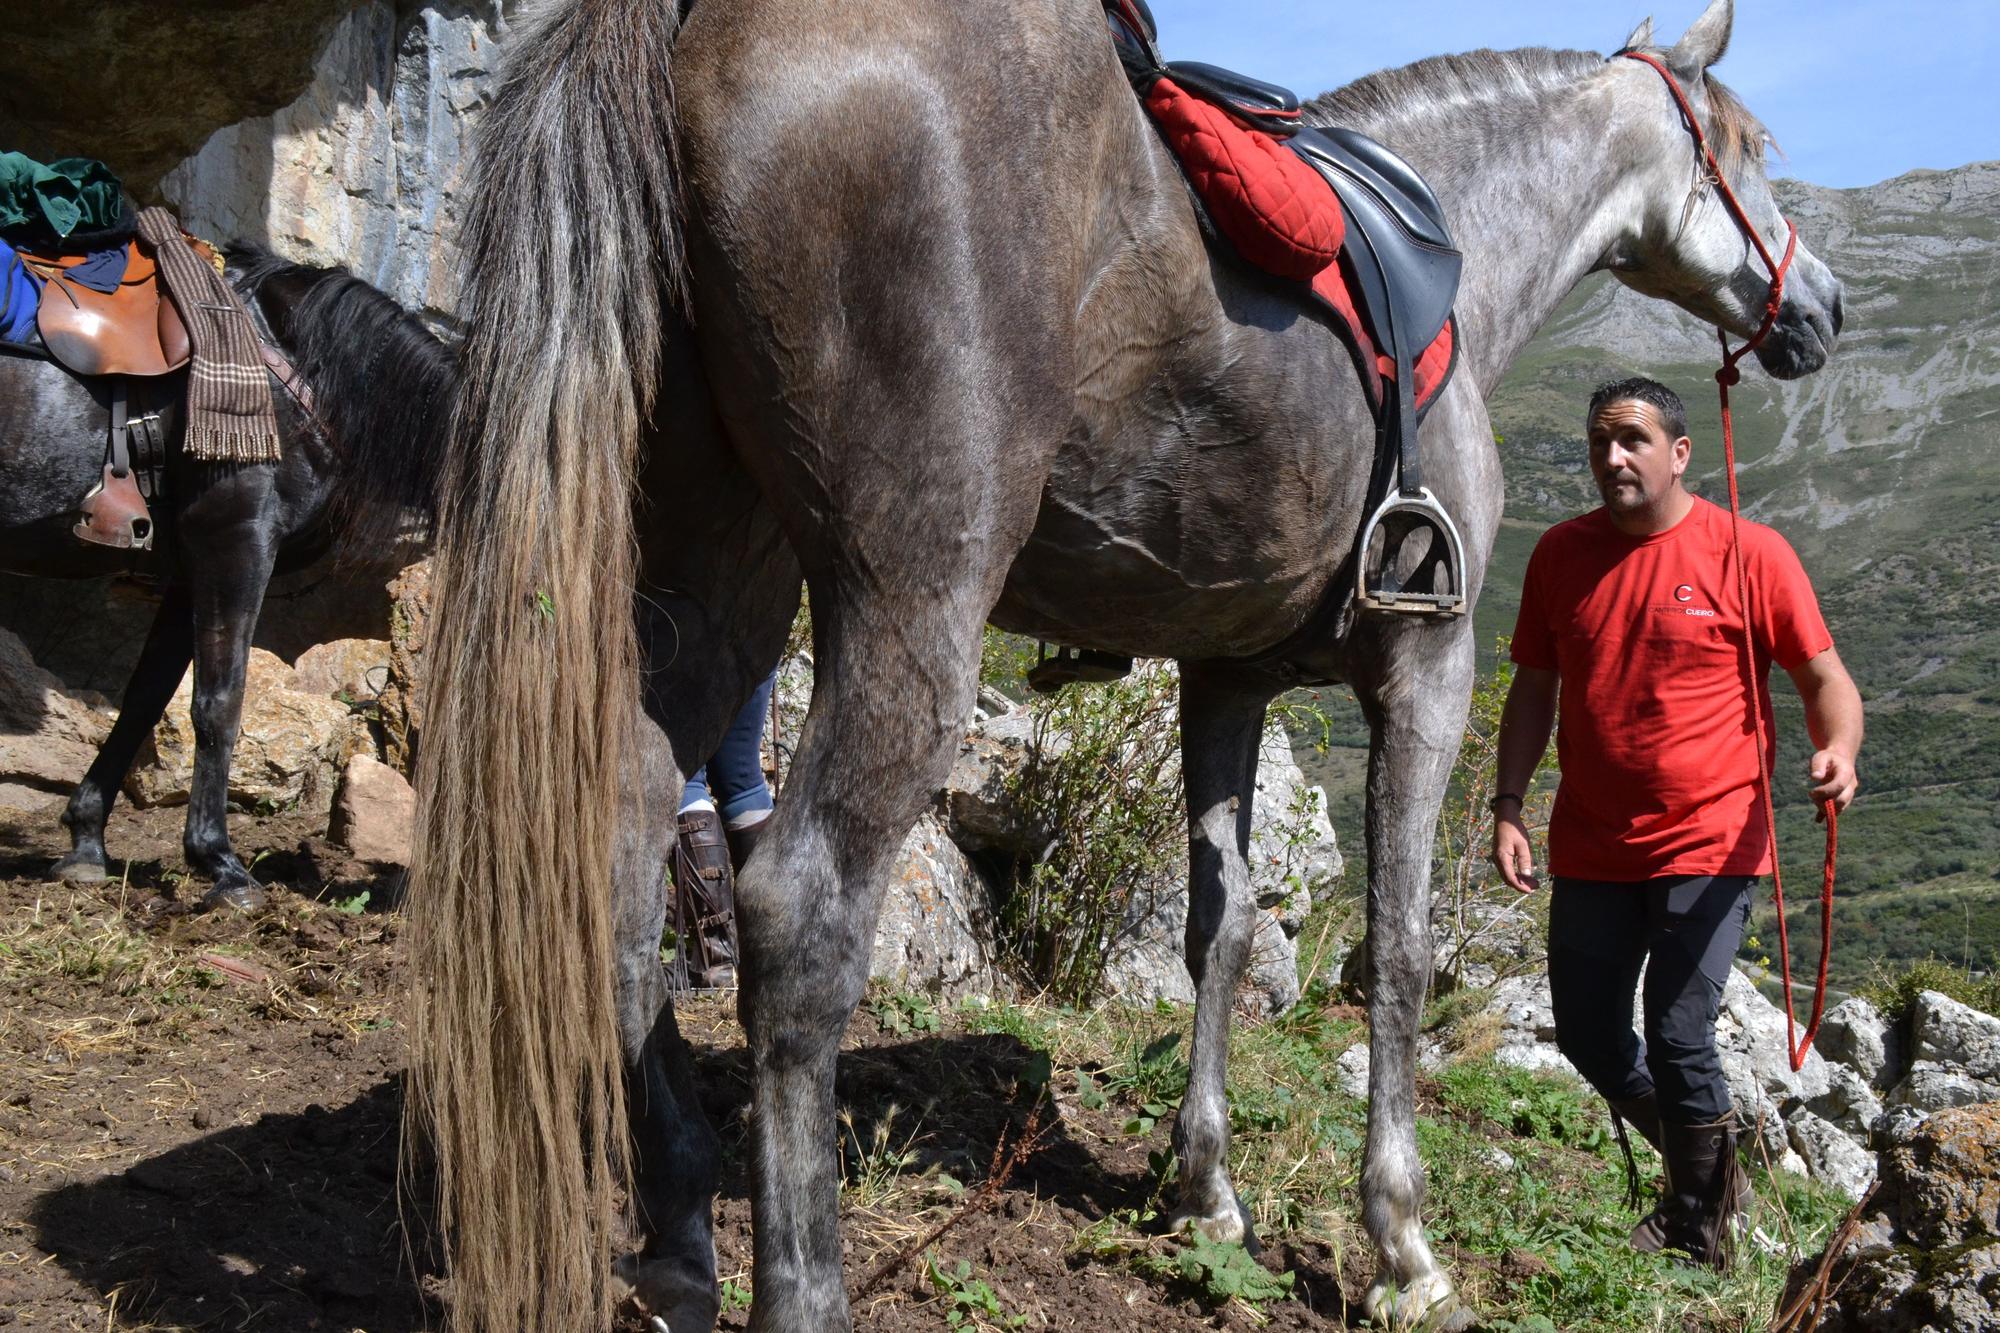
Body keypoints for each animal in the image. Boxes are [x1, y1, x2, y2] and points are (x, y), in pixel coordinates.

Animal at [0, 252, 446, 904]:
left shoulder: (186, 569)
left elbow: (145, 698)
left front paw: (86, 842)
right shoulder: (236, 540)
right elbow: (220, 701)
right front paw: (220, 862)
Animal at [406, 0, 1840, 1320]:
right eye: (1752, 152)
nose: (1818, 307)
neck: (1454, 259)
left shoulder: (1227, 679)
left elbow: (1221, 924)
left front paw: (1204, 1189)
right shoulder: (1420, 671)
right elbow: (1399, 946)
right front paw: (1401, 1245)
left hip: (711, 576)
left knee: (614, 861)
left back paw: (678, 1238)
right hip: (903, 599)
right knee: (800, 914)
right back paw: (797, 1286)